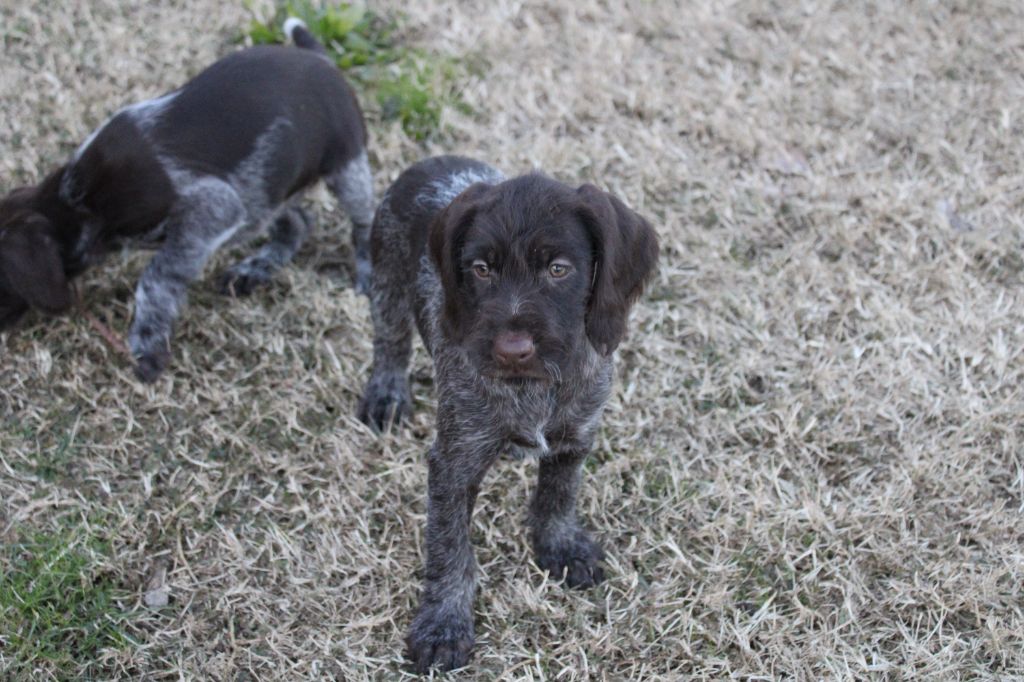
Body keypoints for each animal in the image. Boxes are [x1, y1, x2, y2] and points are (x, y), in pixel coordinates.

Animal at [0, 19, 374, 382]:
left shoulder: (213, 206)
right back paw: (256, 268)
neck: (76, 198)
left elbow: (156, 277)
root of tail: (323, 61)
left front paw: (148, 344)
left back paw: (368, 275)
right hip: (268, 191)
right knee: (297, 222)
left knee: (363, 224)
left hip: (346, 167)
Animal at [360, 153, 659, 667]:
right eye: (481, 269)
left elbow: (558, 495)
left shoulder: (574, 436)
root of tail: (433, 161)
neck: (533, 386)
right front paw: (444, 623)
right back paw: (387, 393)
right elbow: (450, 549)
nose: (512, 350)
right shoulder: (454, 463)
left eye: (558, 269)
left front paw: (560, 547)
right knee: (390, 342)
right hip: (388, 284)